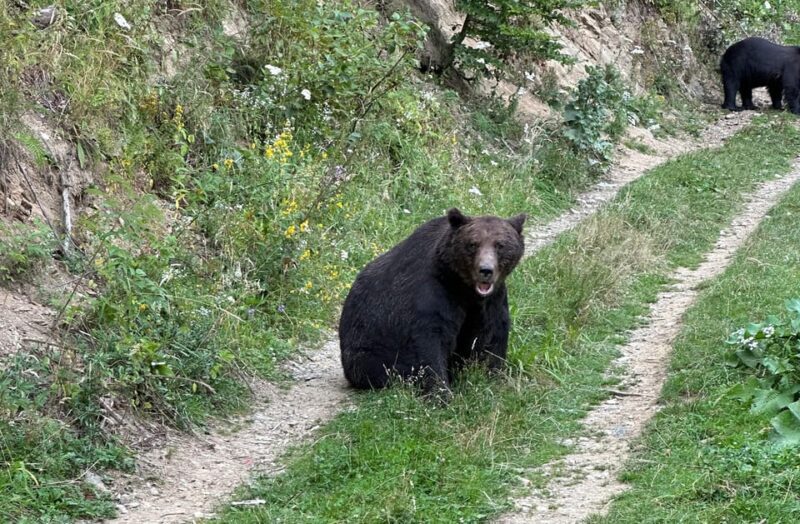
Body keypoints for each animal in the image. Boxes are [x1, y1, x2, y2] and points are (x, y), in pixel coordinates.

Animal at [339, 208, 526, 394]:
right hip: (368, 348)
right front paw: (440, 392)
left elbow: (492, 335)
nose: (486, 270)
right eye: (473, 244)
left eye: (500, 245)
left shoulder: (491, 300)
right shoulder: (434, 292)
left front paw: (494, 378)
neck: (464, 288)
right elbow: (429, 342)